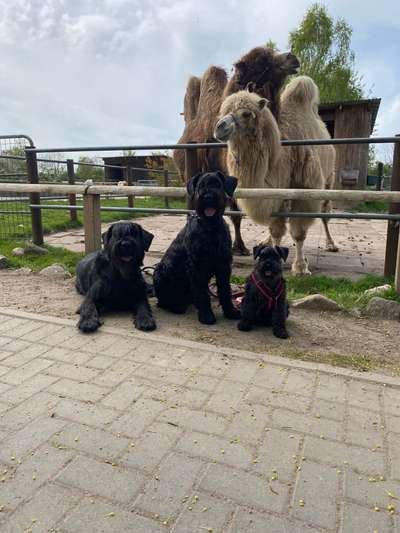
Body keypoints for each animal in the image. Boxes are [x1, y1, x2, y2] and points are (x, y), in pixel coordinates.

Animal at [153, 170, 241, 324]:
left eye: (217, 184)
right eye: (200, 186)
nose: (207, 197)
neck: (210, 227)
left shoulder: (223, 265)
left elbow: (225, 290)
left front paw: (230, 311)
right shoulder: (197, 266)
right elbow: (202, 293)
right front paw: (206, 315)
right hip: (160, 271)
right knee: (163, 301)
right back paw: (176, 306)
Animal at [214, 76, 340, 274]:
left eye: (246, 114)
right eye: (224, 111)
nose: (219, 127)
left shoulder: (304, 191)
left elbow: (298, 233)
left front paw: (301, 268)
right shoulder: (276, 192)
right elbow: (276, 231)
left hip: (328, 181)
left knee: (325, 214)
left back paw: (331, 244)